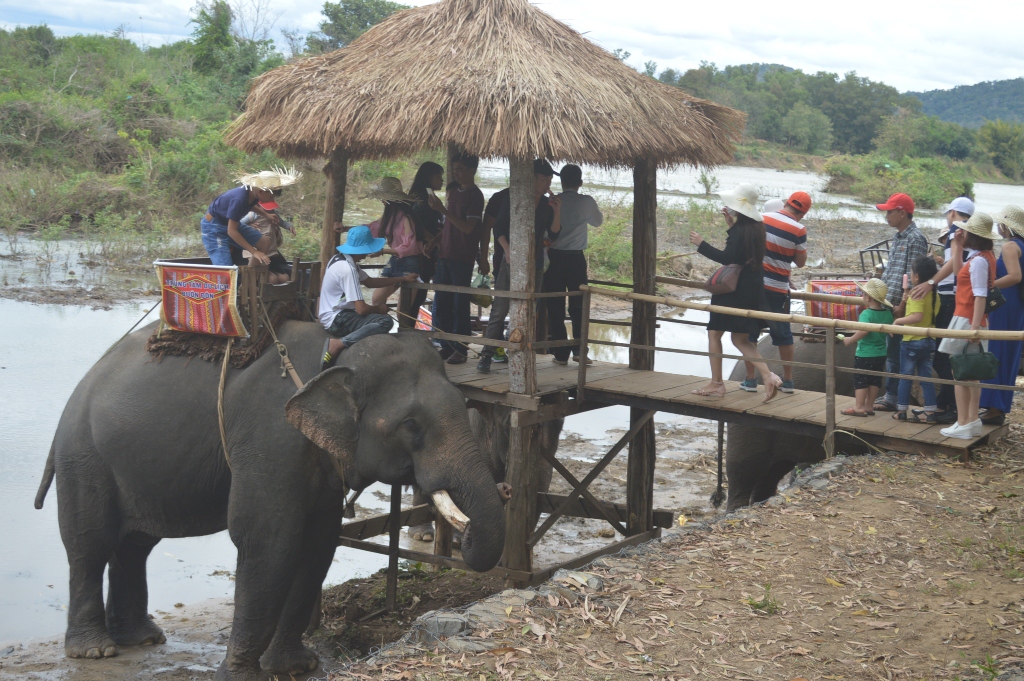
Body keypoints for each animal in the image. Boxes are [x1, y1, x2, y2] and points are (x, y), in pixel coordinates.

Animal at [34, 325, 505, 679]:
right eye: (411, 425)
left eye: (465, 405)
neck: (336, 358)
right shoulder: (270, 440)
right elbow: (268, 542)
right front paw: (242, 676)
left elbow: (318, 546)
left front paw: (296, 667)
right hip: (84, 458)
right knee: (89, 544)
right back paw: (95, 651)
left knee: (135, 544)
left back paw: (143, 638)